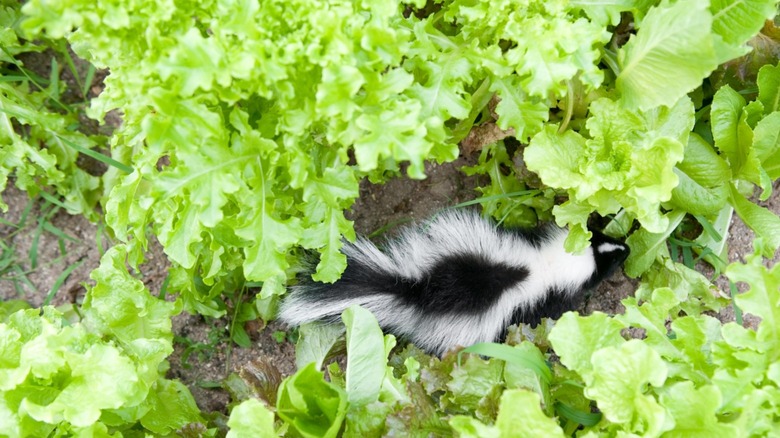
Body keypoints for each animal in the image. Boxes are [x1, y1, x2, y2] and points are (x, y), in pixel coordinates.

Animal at [278, 210, 632, 358]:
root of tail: (418, 289)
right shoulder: (538, 303)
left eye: (601, 234)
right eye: (608, 265)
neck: (540, 265)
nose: (626, 247)